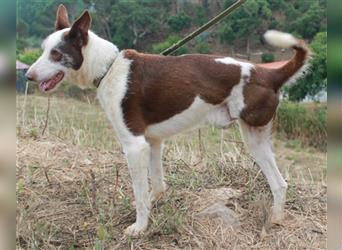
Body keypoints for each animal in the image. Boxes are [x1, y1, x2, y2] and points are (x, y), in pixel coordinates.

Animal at [26, 5, 310, 236]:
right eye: (43, 51)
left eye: (56, 54)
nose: (28, 75)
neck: (108, 68)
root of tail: (268, 74)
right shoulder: (153, 142)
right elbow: (157, 186)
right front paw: (154, 206)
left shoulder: (134, 146)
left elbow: (141, 194)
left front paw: (140, 228)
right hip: (255, 141)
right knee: (280, 183)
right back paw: (275, 220)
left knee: (278, 182)